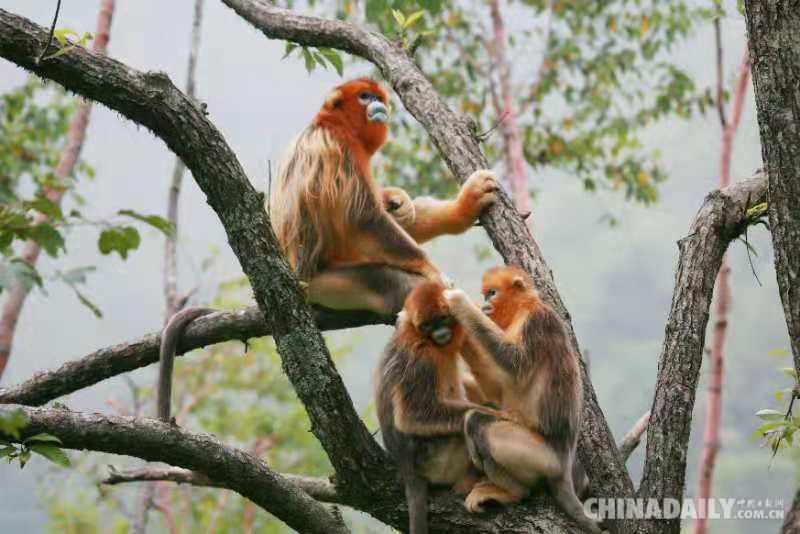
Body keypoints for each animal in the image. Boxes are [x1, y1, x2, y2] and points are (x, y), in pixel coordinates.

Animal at [376, 282, 506, 532]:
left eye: (443, 319)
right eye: (427, 326)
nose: (439, 333)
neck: (426, 340)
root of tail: (407, 468)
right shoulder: (420, 358)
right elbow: (412, 416)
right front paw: (498, 415)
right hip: (437, 460)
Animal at [440, 268, 604, 534]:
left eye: (492, 293)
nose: (485, 304)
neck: (522, 310)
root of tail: (565, 465)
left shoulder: (537, 323)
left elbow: (513, 363)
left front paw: (458, 301)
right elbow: (497, 390)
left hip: (545, 459)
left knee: (482, 426)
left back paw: (512, 492)